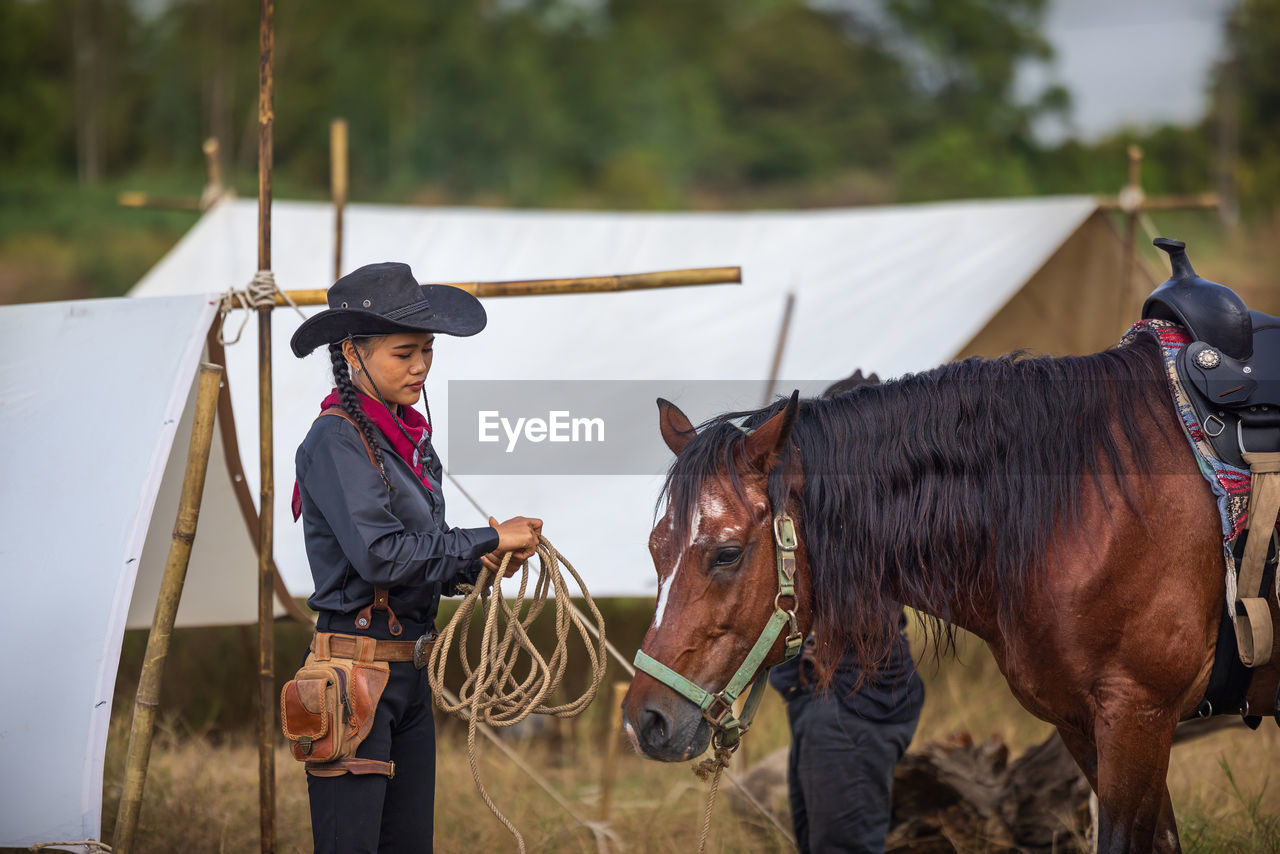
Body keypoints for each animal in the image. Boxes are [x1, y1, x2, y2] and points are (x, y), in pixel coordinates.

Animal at [622, 330, 1280, 850]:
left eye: (726, 553)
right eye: (656, 548)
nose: (643, 721)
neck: (1087, 506)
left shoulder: (1137, 717)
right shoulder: (1087, 727)